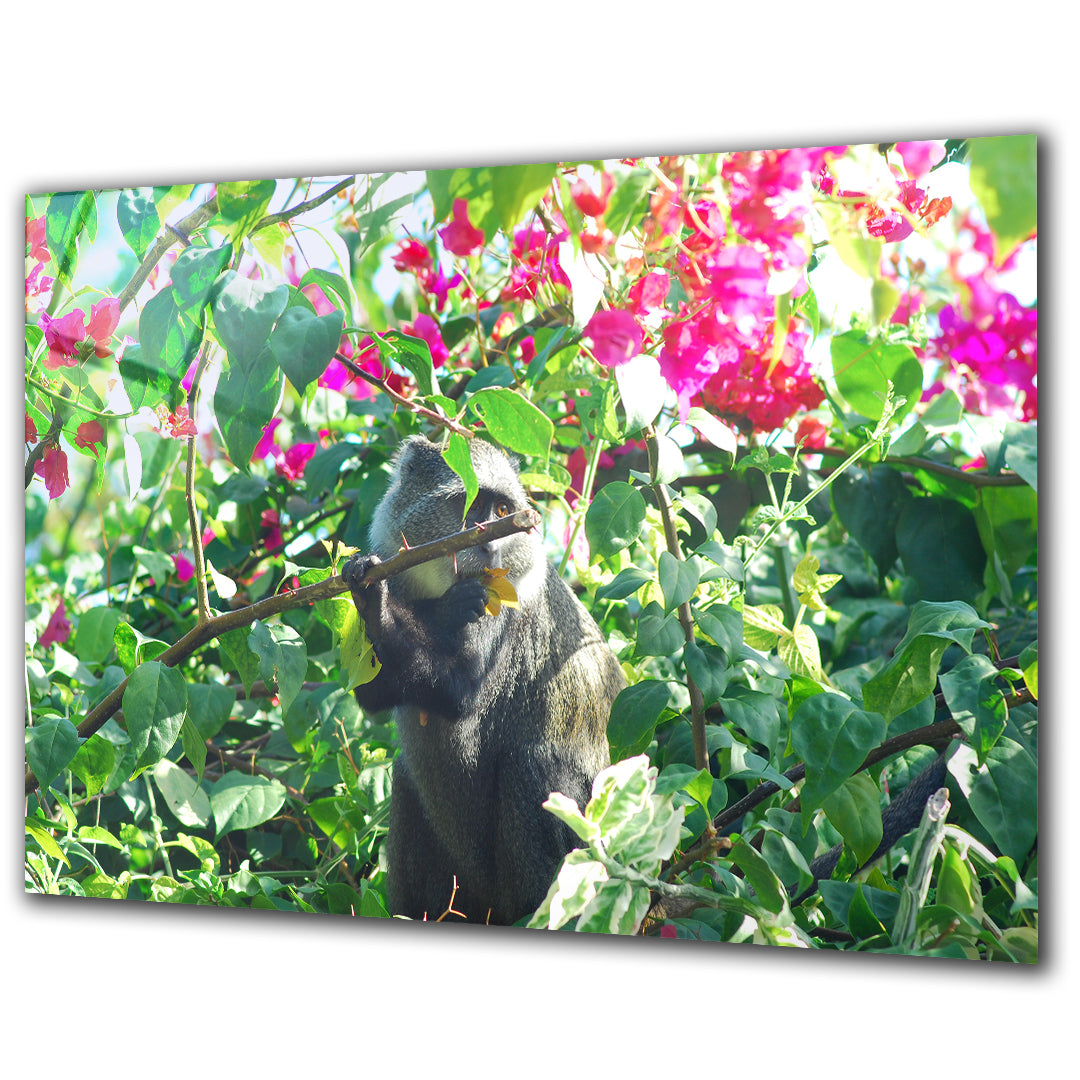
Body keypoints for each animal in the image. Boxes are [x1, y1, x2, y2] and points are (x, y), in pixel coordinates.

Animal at [341, 434, 626, 925]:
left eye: (501, 512)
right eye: (471, 506)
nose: (490, 547)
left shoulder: (503, 598)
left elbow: (460, 692)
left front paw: (377, 600)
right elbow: (376, 694)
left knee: (535, 766)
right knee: (405, 777)